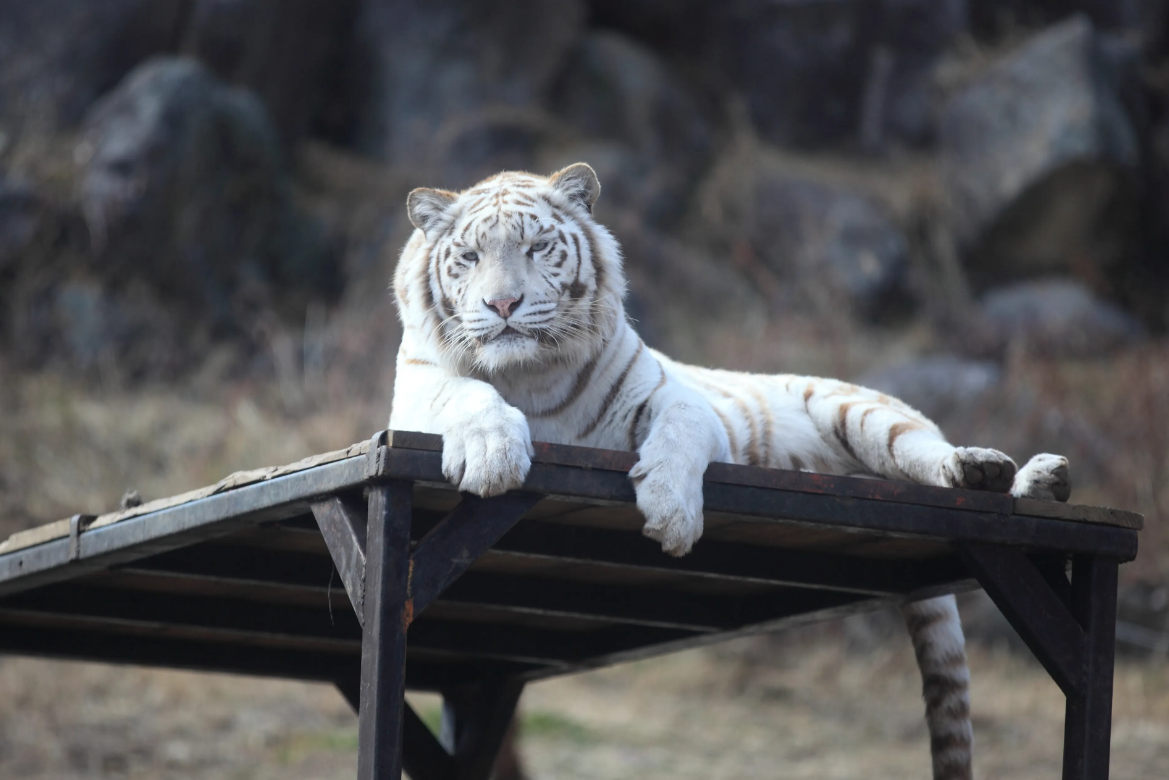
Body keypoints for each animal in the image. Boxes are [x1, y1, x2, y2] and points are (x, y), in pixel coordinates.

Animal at [388, 161, 1070, 776]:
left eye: (536, 247)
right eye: (469, 257)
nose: (504, 303)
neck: (531, 373)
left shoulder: (674, 397)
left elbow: (682, 431)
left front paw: (672, 514)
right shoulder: (418, 394)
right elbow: (470, 395)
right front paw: (494, 456)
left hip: (865, 414)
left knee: (928, 454)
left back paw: (1009, 473)